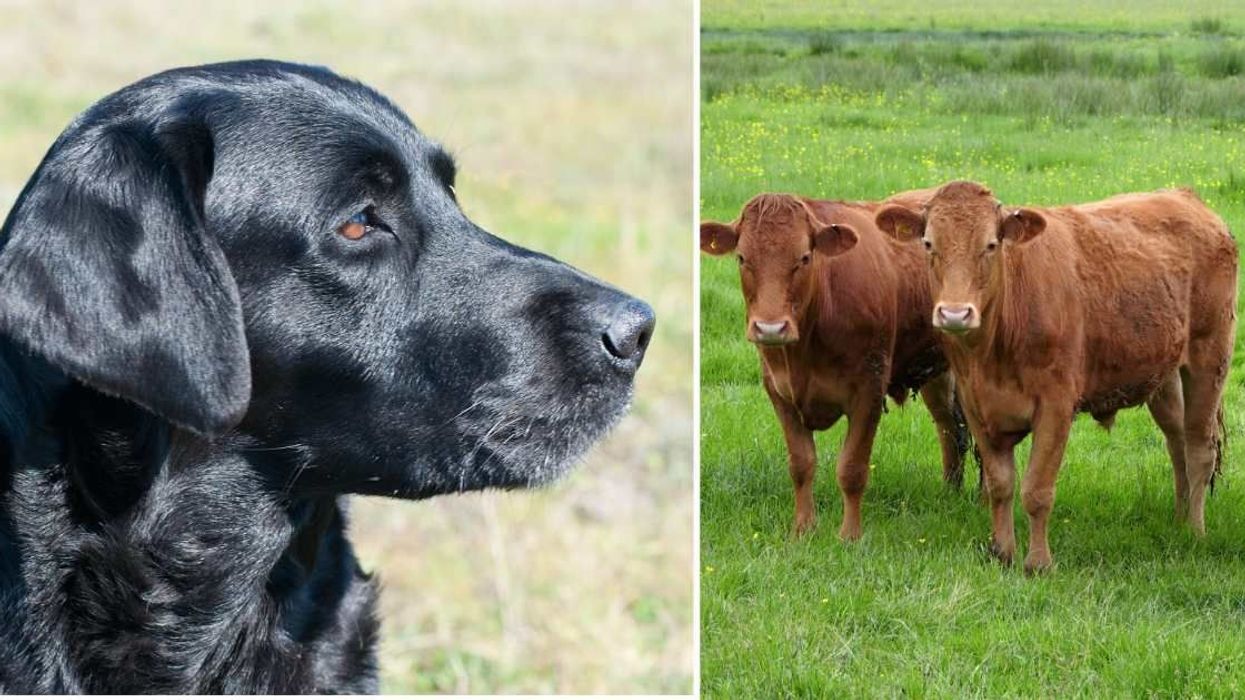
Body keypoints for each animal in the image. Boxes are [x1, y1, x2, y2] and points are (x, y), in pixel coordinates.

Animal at [701, 189, 970, 540]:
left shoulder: (869, 389)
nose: (770, 328)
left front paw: (850, 536)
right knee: (948, 427)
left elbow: (852, 468)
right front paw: (802, 528)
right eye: (742, 258)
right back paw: (950, 492)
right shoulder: (778, 390)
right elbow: (801, 464)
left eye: (804, 257)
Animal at [875, 180, 1238, 573]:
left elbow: (1036, 490)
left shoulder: (1055, 407)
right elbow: (1001, 485)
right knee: (1177, 442)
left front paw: (1038, 563)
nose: (955, 314)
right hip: (1163, 374)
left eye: (991, 244)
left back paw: (1195, 531)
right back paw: (1179, 518)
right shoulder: (976, 406)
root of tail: (1183, 195)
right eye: (929, 244)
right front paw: (1003, 552)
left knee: (1199, 448)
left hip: (1209, 359)